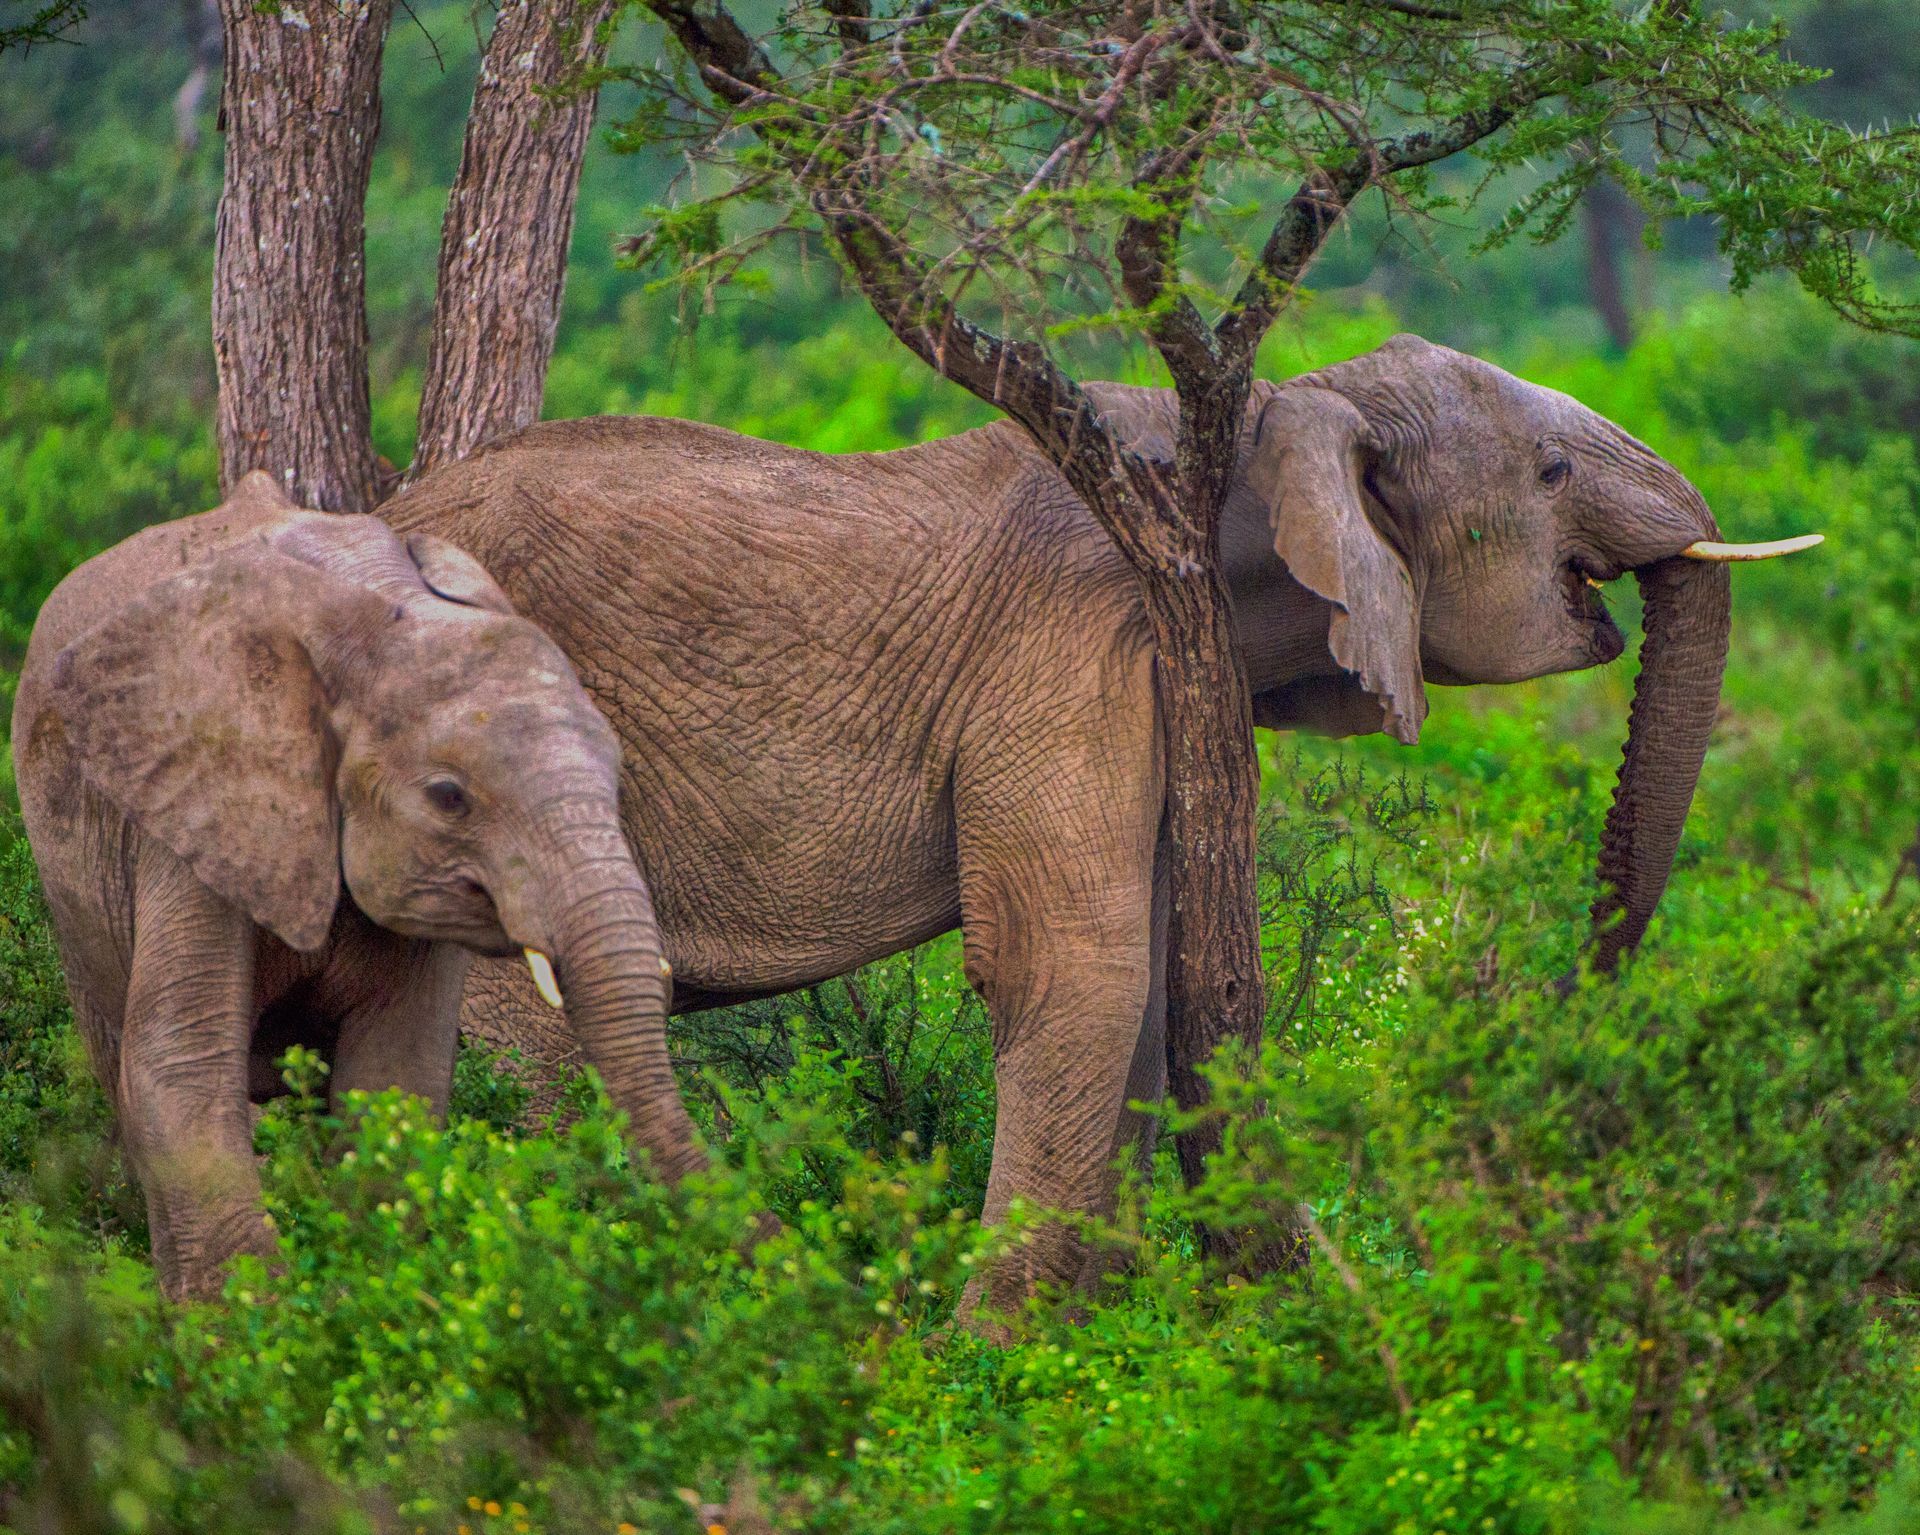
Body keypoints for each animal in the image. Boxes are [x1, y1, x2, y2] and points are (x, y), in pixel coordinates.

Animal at [10, 471, 703, 1301]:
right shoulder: (195, 803)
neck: (377, 612)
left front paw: (366, 1292)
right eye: (448, 796)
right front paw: (254, 1316)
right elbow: (180, 1061)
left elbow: (396, 1078)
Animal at [384, 333, 1818, 1316]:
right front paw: (981, 1375)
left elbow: (1148, 996)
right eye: (1553, 467)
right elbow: (1080, 966)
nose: (1574, 993)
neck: (1275, 413)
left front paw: (1102, 1347)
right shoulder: (1074, 646)